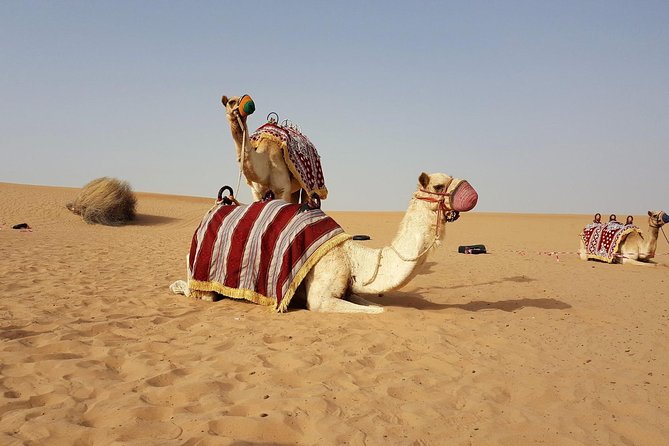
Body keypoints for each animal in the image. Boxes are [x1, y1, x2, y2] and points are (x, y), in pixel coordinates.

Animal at [170, 172, 478, 313]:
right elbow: (376, 310)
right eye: (439, 185)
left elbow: (372, 305)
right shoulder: (321, 297)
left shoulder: (349, 289)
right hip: (202, 275)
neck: (352, 257)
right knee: (195, 290)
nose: (471, 192)